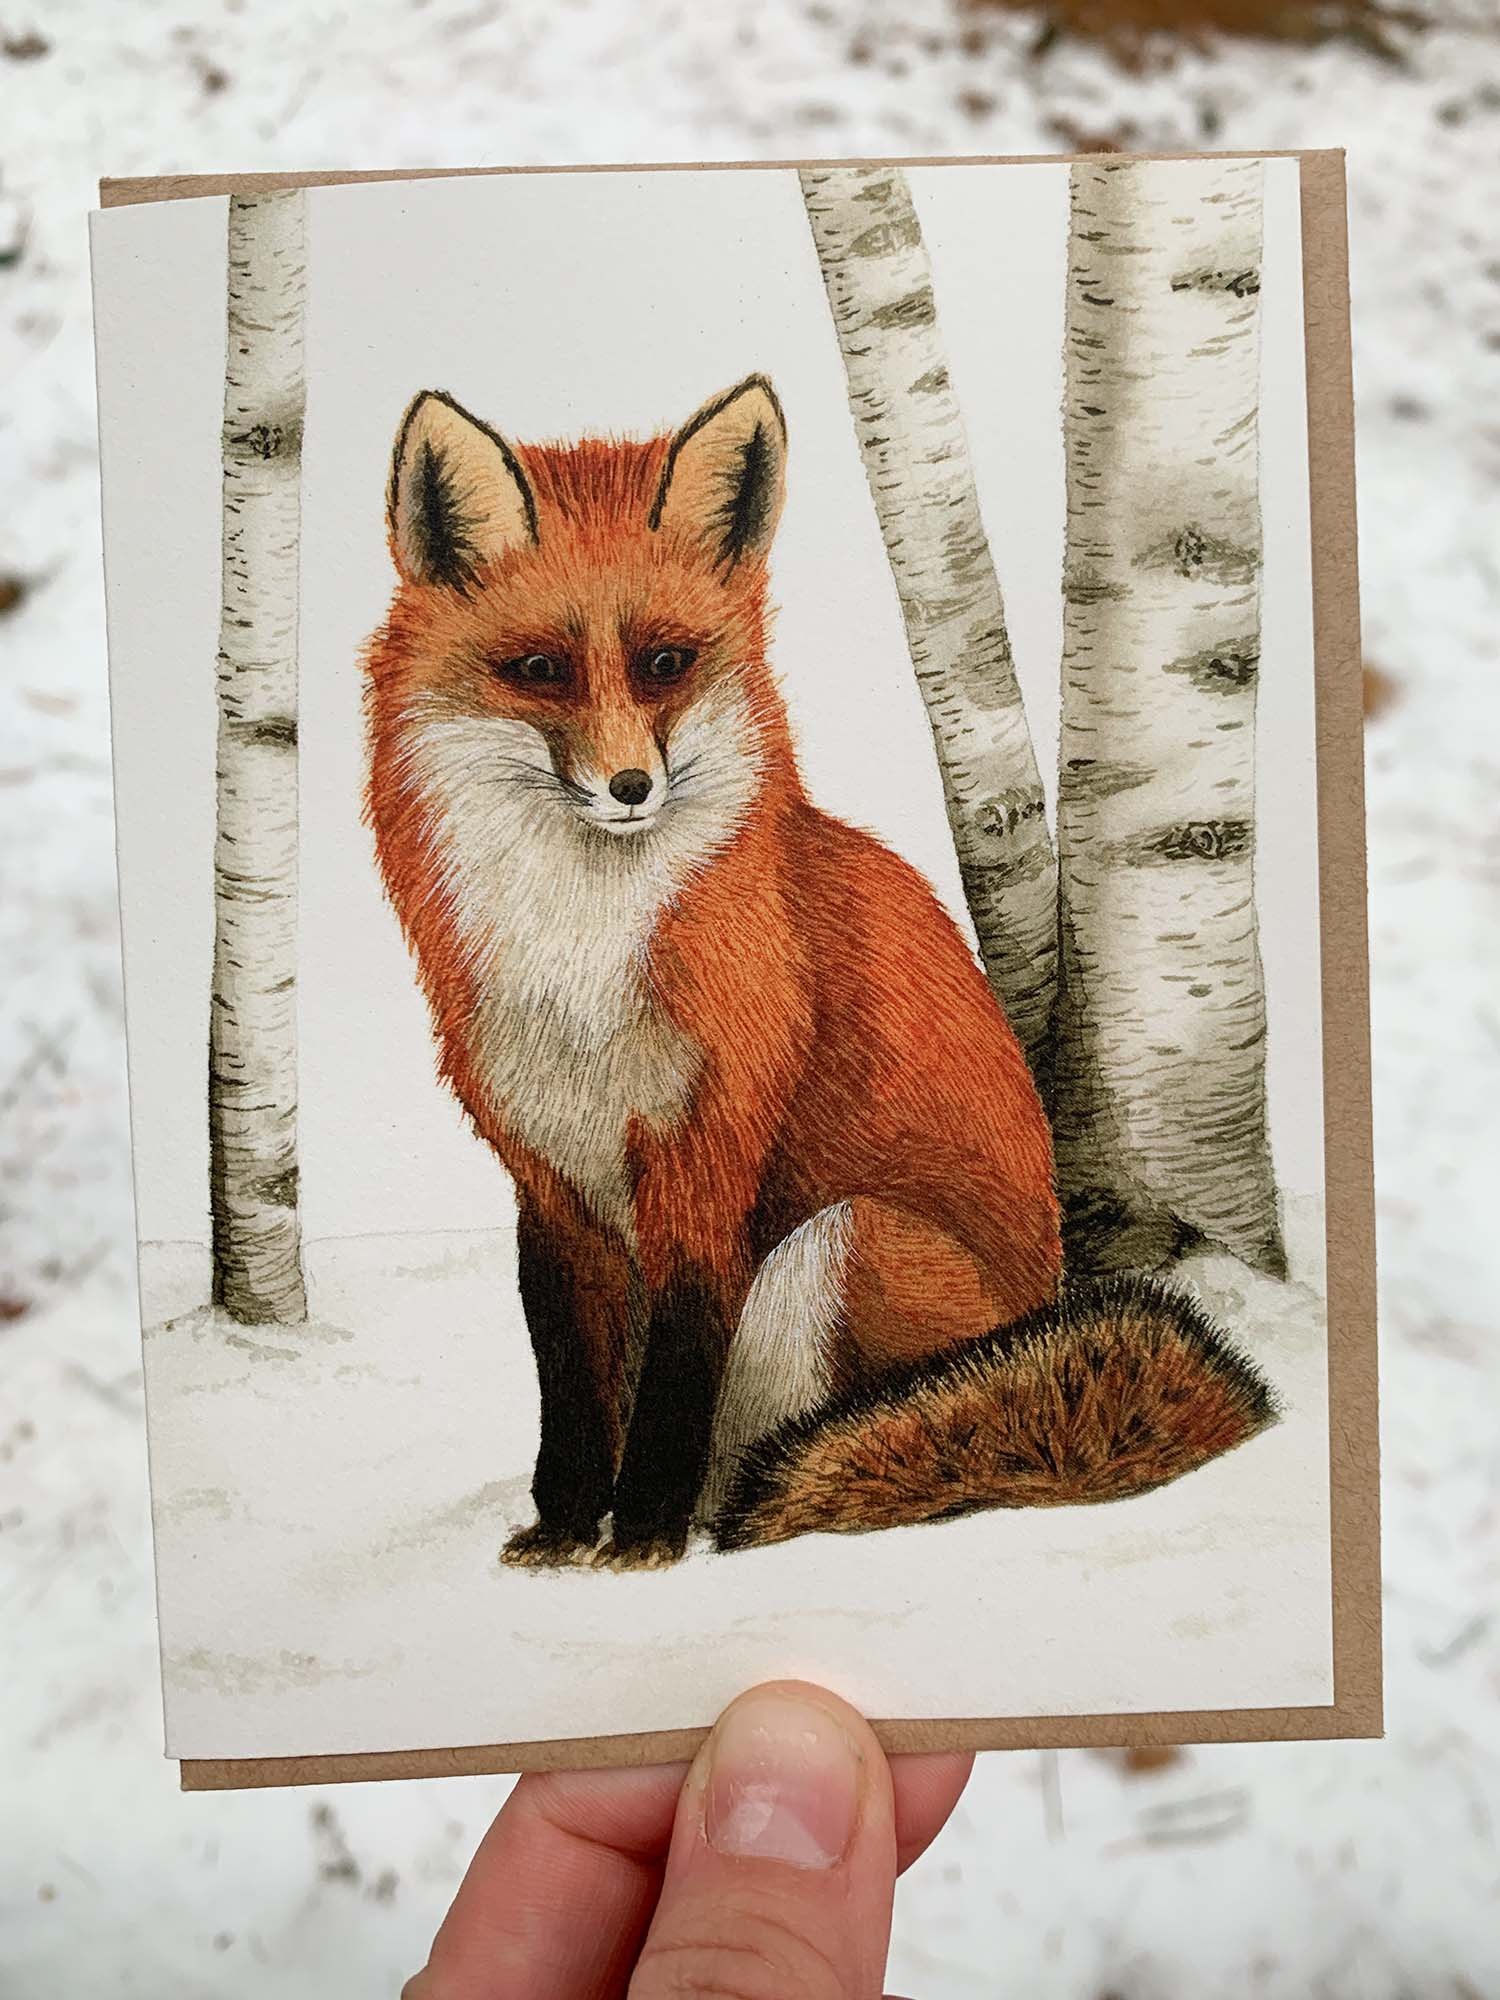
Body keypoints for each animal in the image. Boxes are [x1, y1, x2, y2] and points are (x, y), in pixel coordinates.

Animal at [364, 374, 1276, 1570]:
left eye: (666, 663)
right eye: (540, 670)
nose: (629, 787)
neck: (579, 964)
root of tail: (1049, 1298)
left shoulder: (709, 1157)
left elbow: (674, 1381)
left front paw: (639, 1539)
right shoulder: (548, 1178)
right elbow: (571, 1384)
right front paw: (563, 1530)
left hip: (836, 1243)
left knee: (819, 1437)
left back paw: (745, 1510)